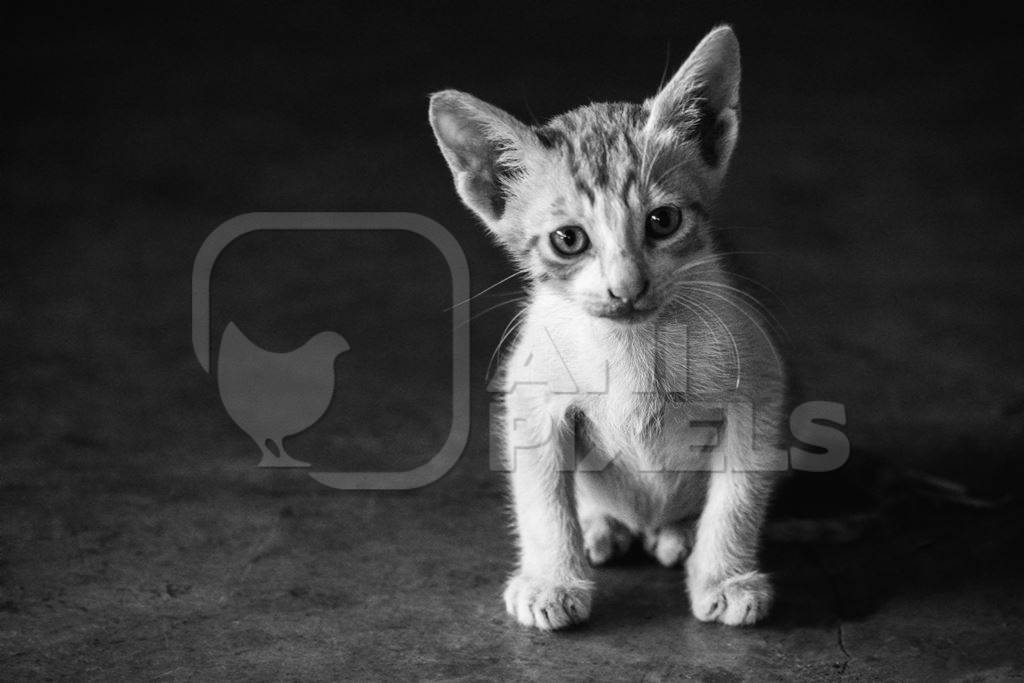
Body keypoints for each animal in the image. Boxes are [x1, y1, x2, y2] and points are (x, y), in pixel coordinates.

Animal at [428, 28, 786, 634]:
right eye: (568, 239)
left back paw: (677, 533)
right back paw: (599, 526)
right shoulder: (532, 398)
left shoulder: (757, 391)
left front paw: (724, 578)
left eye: (662, 222)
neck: (632, 346)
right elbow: (542, 501)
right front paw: (552, 580)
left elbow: (736, 497)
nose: (627, 287)